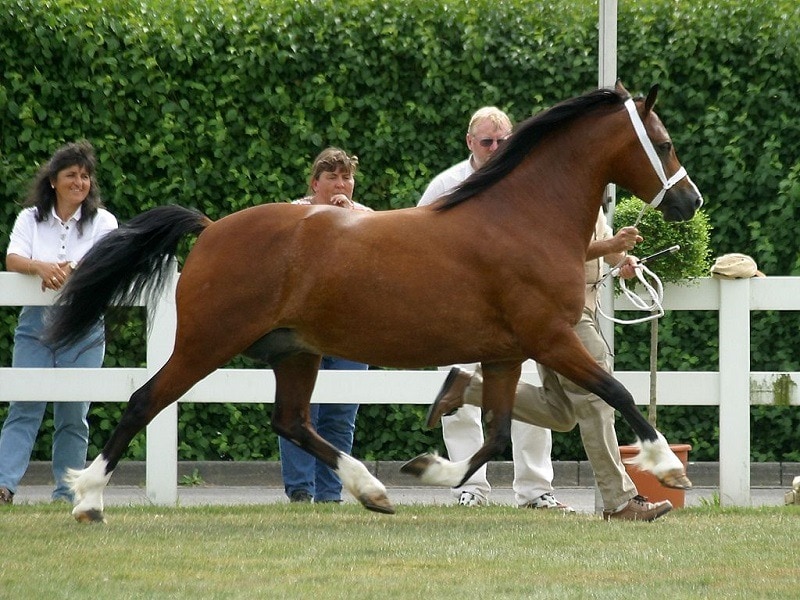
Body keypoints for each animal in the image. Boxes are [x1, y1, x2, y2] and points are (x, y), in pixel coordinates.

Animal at [48, 79, 700, 520]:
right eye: (664, 142)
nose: (688, 201)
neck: (522, 218)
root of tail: (210, 229)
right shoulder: (552, 338)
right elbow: (616, 392)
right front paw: (667, 467)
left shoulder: (507, 352)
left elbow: (494, 434)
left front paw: (427, 468)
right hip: (207, 343)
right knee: (143, 401)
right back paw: (87, 498)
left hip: (295, 352)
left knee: (291, 420)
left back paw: (374, 490)